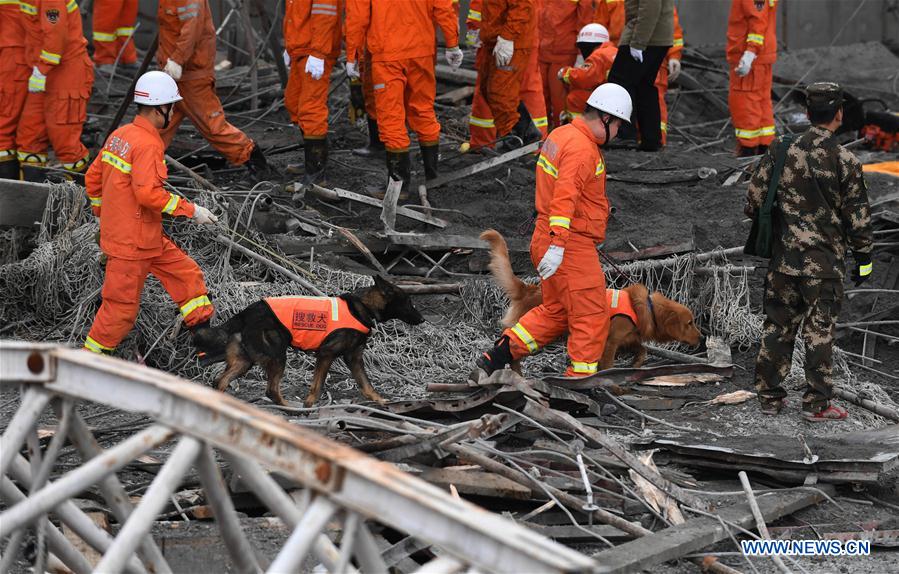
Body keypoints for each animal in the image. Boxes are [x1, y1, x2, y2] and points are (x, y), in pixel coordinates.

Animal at [193, 276, 426, 408]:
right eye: (409, 302)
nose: (423, 319)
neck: (363, 306)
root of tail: (244, 314)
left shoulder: (354, 358)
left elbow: (366, 384)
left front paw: (379, 401)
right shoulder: (326, 354)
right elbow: (318, 384)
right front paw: (309, 405)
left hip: (245, 361)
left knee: (220, 381)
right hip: (278, 355)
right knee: (271, 390)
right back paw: (289, 407)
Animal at [478, 231, 704, 372]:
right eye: (690, 323)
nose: (702, 338)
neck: (646, 308)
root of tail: (528, 289)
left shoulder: (629, 339)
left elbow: (642, 350)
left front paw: (636, 365)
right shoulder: (611, 341)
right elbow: (608, 363)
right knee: (514, 350)